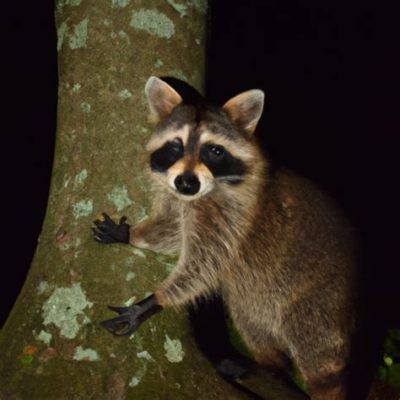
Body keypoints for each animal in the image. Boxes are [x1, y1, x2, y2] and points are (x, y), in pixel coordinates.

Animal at [94, 76, 360, 398]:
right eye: (175, 145)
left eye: (214, 151)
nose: (186, 183)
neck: (205, 191)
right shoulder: (190, 202)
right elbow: (175, 232)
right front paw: (131, 234)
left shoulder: (233, 216)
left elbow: (204, 263)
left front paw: (155, 300)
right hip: (258, 299)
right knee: (251, 321)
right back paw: (270, 366)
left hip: (320, 302)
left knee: (315, 350)